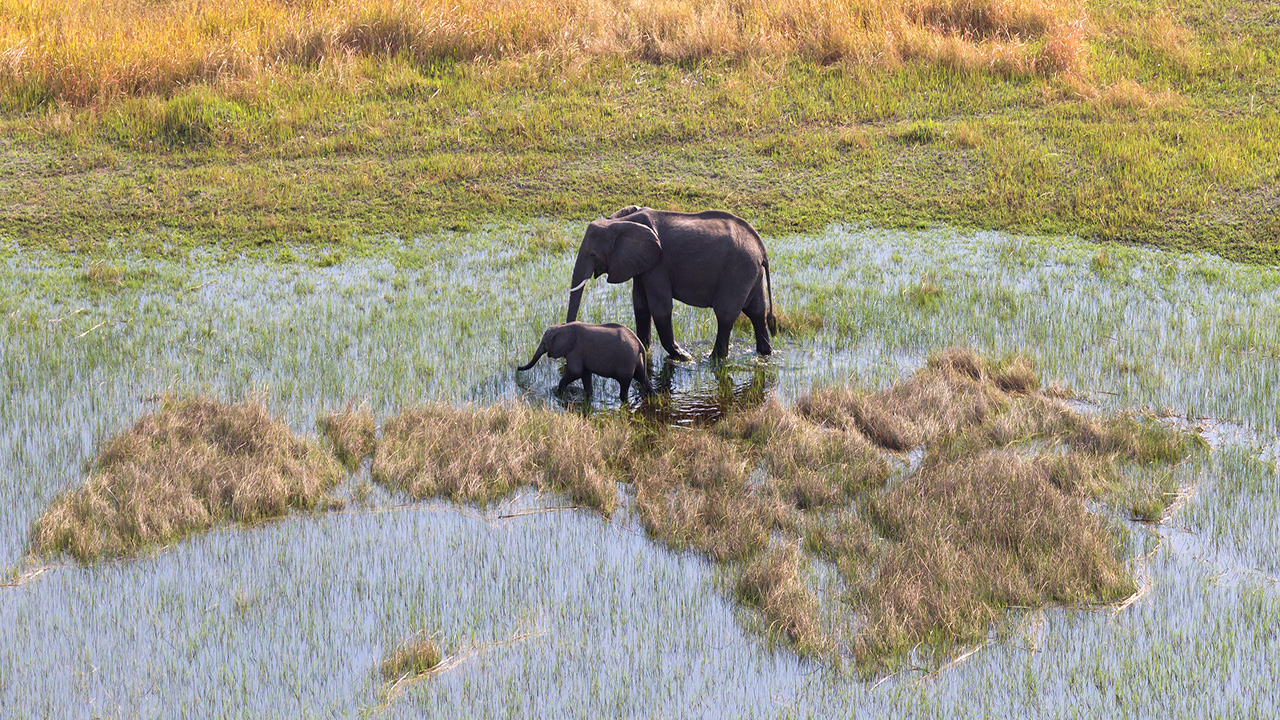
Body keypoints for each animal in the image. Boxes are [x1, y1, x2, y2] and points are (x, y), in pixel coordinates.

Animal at [512, 320, 650, 399]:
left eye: (544, 343)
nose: (517, 367)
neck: (562, 327)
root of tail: (640, 344)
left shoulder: (575, 350)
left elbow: (575, 371)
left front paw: (560, 391)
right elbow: (584, 373)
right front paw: (587, 395)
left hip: (626, 360)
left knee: (625, 383)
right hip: (636, 360)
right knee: (641, 377)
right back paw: (652, 394)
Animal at [565, 204, 773, 358]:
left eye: (593, 254)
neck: (618, 222)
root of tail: (761, 248)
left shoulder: (659, 265)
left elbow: (660, 306)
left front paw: (684, 357)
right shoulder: (640, 263)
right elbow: (640, 305)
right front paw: (644, 349)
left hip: (737, 272)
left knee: (725, 314)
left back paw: (713, 360)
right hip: (752, 272)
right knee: (757, 311)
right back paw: (765, 353)